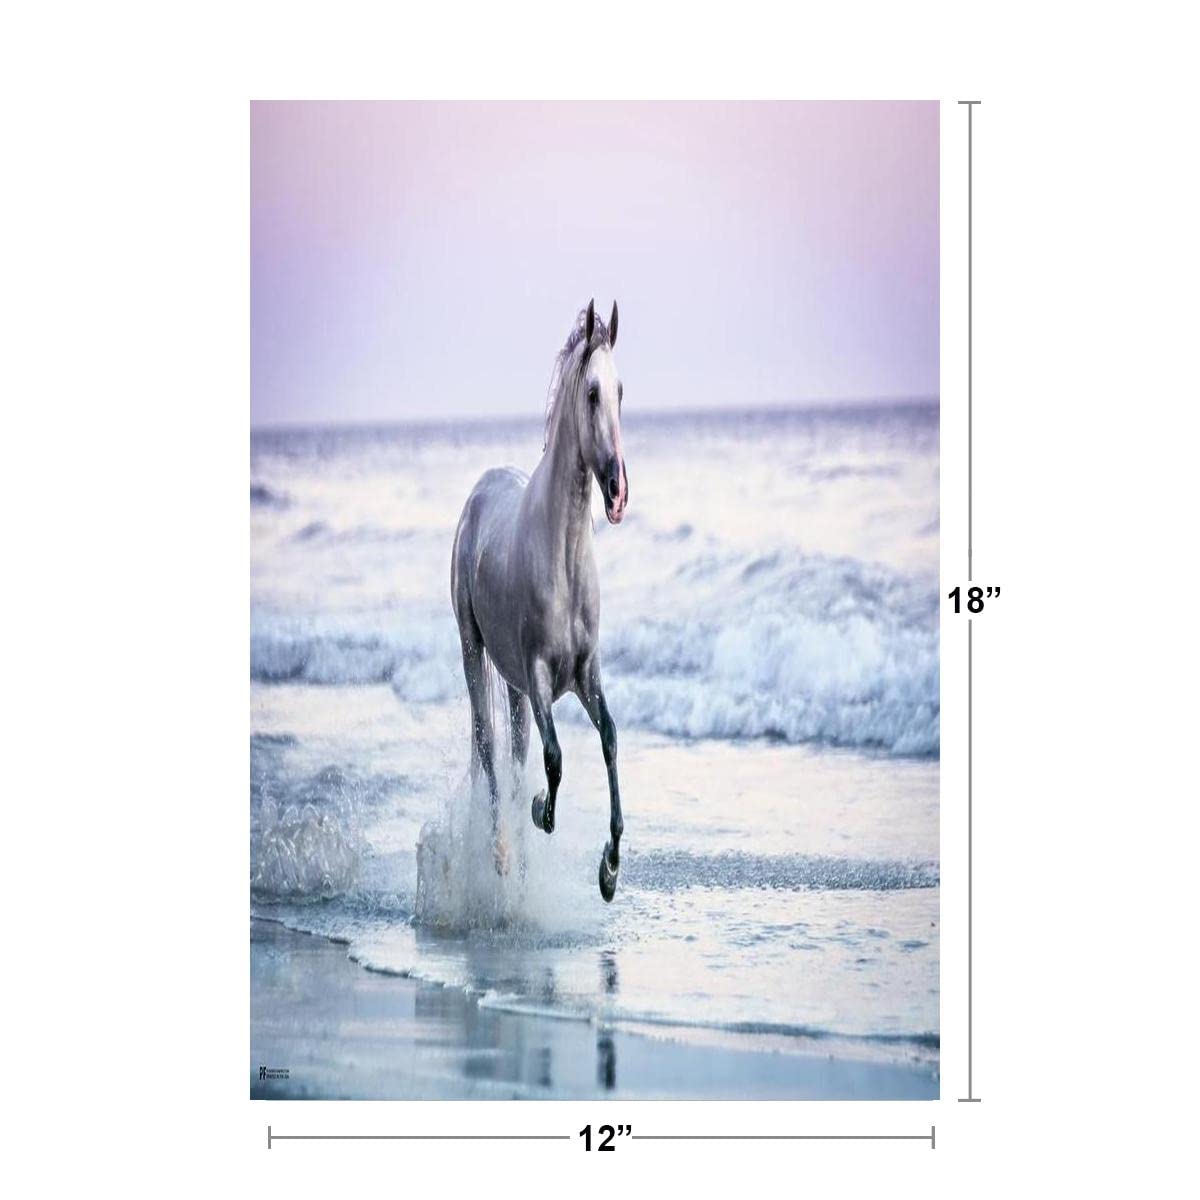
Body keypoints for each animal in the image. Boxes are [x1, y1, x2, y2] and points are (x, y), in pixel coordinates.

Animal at [450, 299, 629, 901]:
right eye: (592, 393)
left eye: (622, 391)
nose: (618, 492)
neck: (564, 561)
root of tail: (480, 490)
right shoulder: (541, 677)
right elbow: (554, 760)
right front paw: (538, 813)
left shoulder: (586, 674)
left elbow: (609, 740)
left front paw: (609, 870)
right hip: (475, 654)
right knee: (488, 752)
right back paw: (501, 855)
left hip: (511, 683)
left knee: (514, 752)